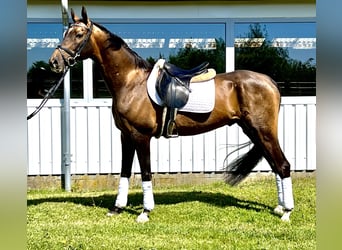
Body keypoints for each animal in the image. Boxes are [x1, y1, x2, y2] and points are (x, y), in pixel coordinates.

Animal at [48, 6, 294, 223]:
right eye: (65, 32)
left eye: (79, 34)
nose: (54, 62)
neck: (131, 82)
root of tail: (270, 81)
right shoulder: (125, 136)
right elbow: (124, 172)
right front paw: (117, 209)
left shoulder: (141, 137)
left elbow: (146, 173)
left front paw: (145, 212)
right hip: (254, 131)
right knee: (275, 165)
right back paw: (279, 207)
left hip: (262, 131)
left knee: (283, 165)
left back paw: (287, 212)